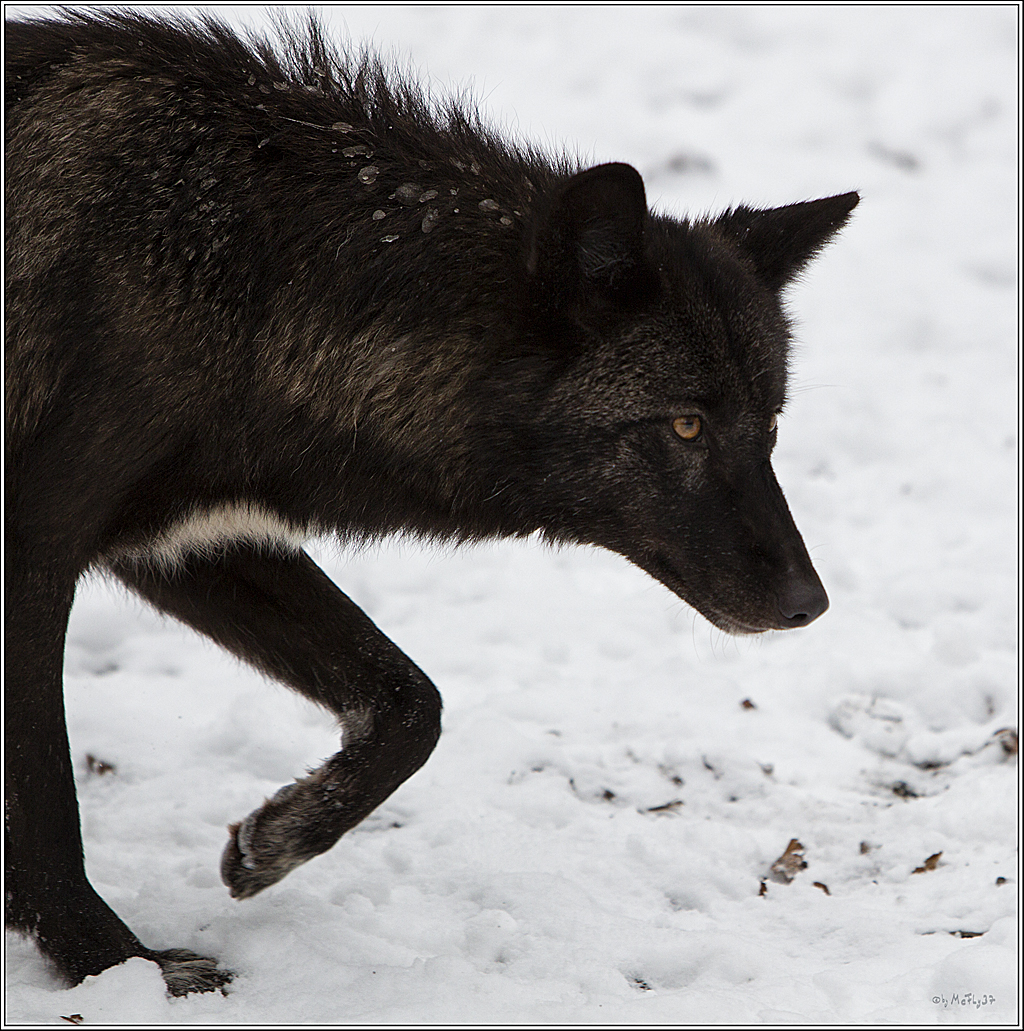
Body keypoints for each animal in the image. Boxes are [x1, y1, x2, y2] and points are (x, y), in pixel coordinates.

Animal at [5, 10, 857, 995]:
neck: (242, 274)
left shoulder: (193, 540)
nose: (810, 604)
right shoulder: (36, 550)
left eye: (770, 425)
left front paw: (276, 839)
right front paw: (110, 961)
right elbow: (43, 792)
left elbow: (413, 705)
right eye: (686, 425)